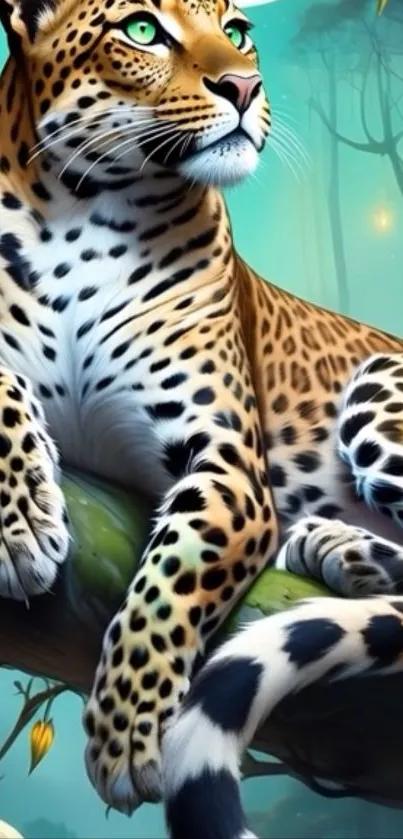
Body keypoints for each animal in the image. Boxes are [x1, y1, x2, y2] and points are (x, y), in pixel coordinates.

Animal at [1, 0, 403, 833]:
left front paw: (126, 733)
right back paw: (343, 549)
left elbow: (171, 580)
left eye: (238, 30)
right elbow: (2, 397)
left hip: (379, 382)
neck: (79, 215)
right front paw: (23, 526)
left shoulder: (229, 469)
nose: (245, 86)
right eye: (142, 30)